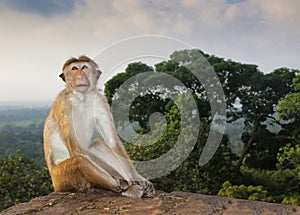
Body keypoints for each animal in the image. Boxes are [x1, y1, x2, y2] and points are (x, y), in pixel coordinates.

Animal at [44, 55, 155, 198]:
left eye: (84, 67)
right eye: (74, 69)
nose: (80, 77)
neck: (82, 98)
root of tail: (54, 183)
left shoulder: (100, 101)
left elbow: (112, 142)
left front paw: (138, 178)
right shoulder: (63, 105)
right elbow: (77, 149)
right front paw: (125, 183)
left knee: (97, 144)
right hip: (61, 179)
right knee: (79, 161)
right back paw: (124, 188)